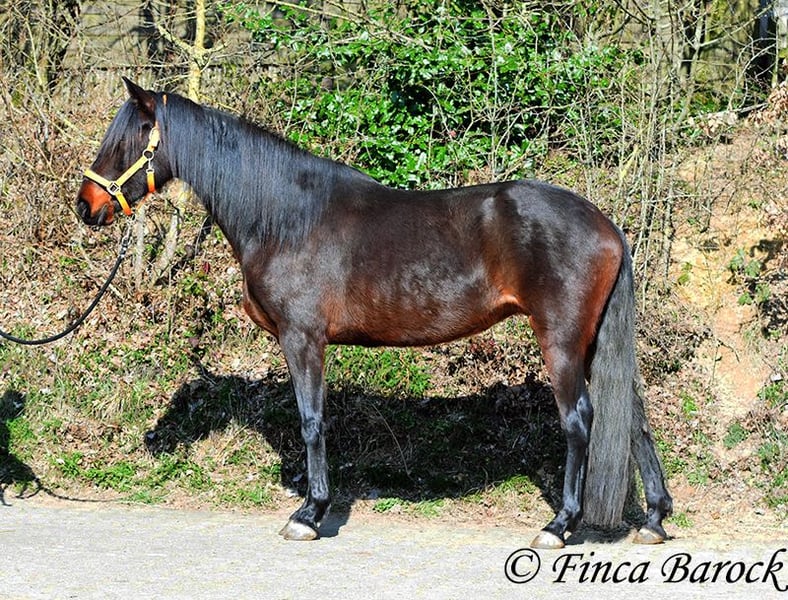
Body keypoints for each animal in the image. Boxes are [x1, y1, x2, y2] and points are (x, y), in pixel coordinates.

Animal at [76, 78, 673, 549]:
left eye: (128, 137)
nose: (87, 206)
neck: (285, 217)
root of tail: (606, 224)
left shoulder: (303, 338)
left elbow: (312, 420)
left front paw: (309, 514)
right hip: (594, 343)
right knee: (633, 418)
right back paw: (654, 519)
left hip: (563, 342)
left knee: (580, 421)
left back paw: (559, 525)